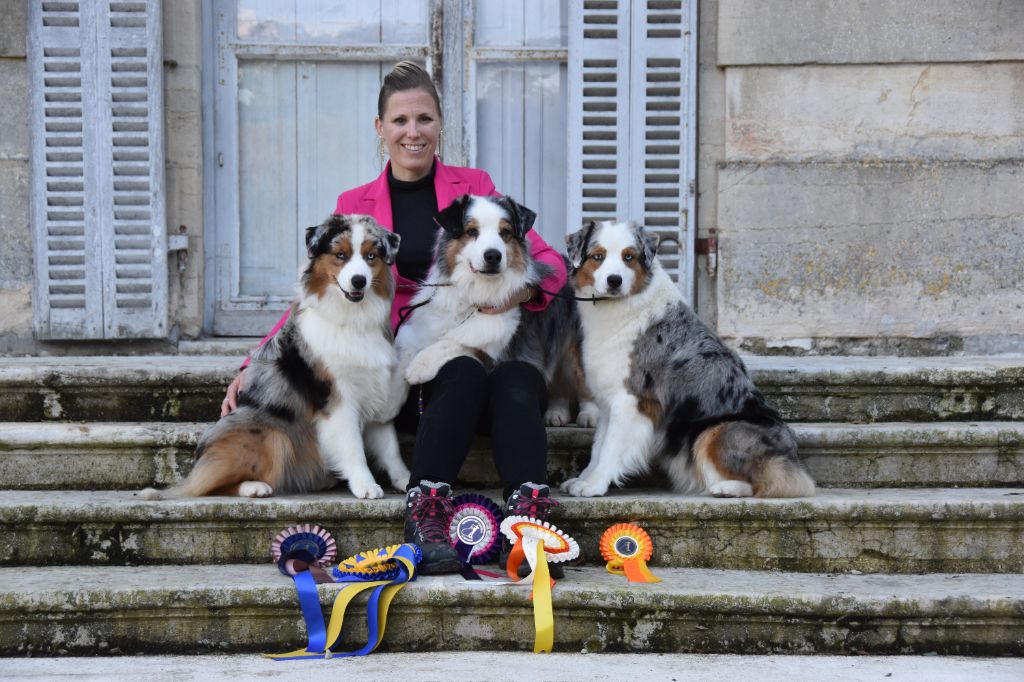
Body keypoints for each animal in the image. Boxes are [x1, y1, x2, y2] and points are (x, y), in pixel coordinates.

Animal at [141, 214, 411, 499]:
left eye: (371, 256)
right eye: (341, 255)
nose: (359, 281)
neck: (351, 319)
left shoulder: (376, 392)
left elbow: (390, 448)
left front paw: (406, 479)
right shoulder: (336, 398)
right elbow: (353, 447)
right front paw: (365, 485)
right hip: (273, 434)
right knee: (208, 485)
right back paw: (254, 486)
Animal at [387, 192, 598, 425]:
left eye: (505, 233)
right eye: (472, 232)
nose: (493, 256)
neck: (475, 293)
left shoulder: (498, 350)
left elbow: (457, 342)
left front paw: (420, 366)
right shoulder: (418, 329)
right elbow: (404, 352)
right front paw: (389, 401)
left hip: (578, 345)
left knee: (584, 380)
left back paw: (589, 414)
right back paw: (556, 412)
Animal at [561, 220, 815, 497]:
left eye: (629, 257)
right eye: (598, 257)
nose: (614, 280)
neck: (621, 304)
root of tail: (793, 459)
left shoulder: (633, 400)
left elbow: (611, 448)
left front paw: (594, 485)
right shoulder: (609, 400)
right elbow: (598, 447)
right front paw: (584, 479)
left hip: (718, 430)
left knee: (772, 481)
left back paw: (727, 488)